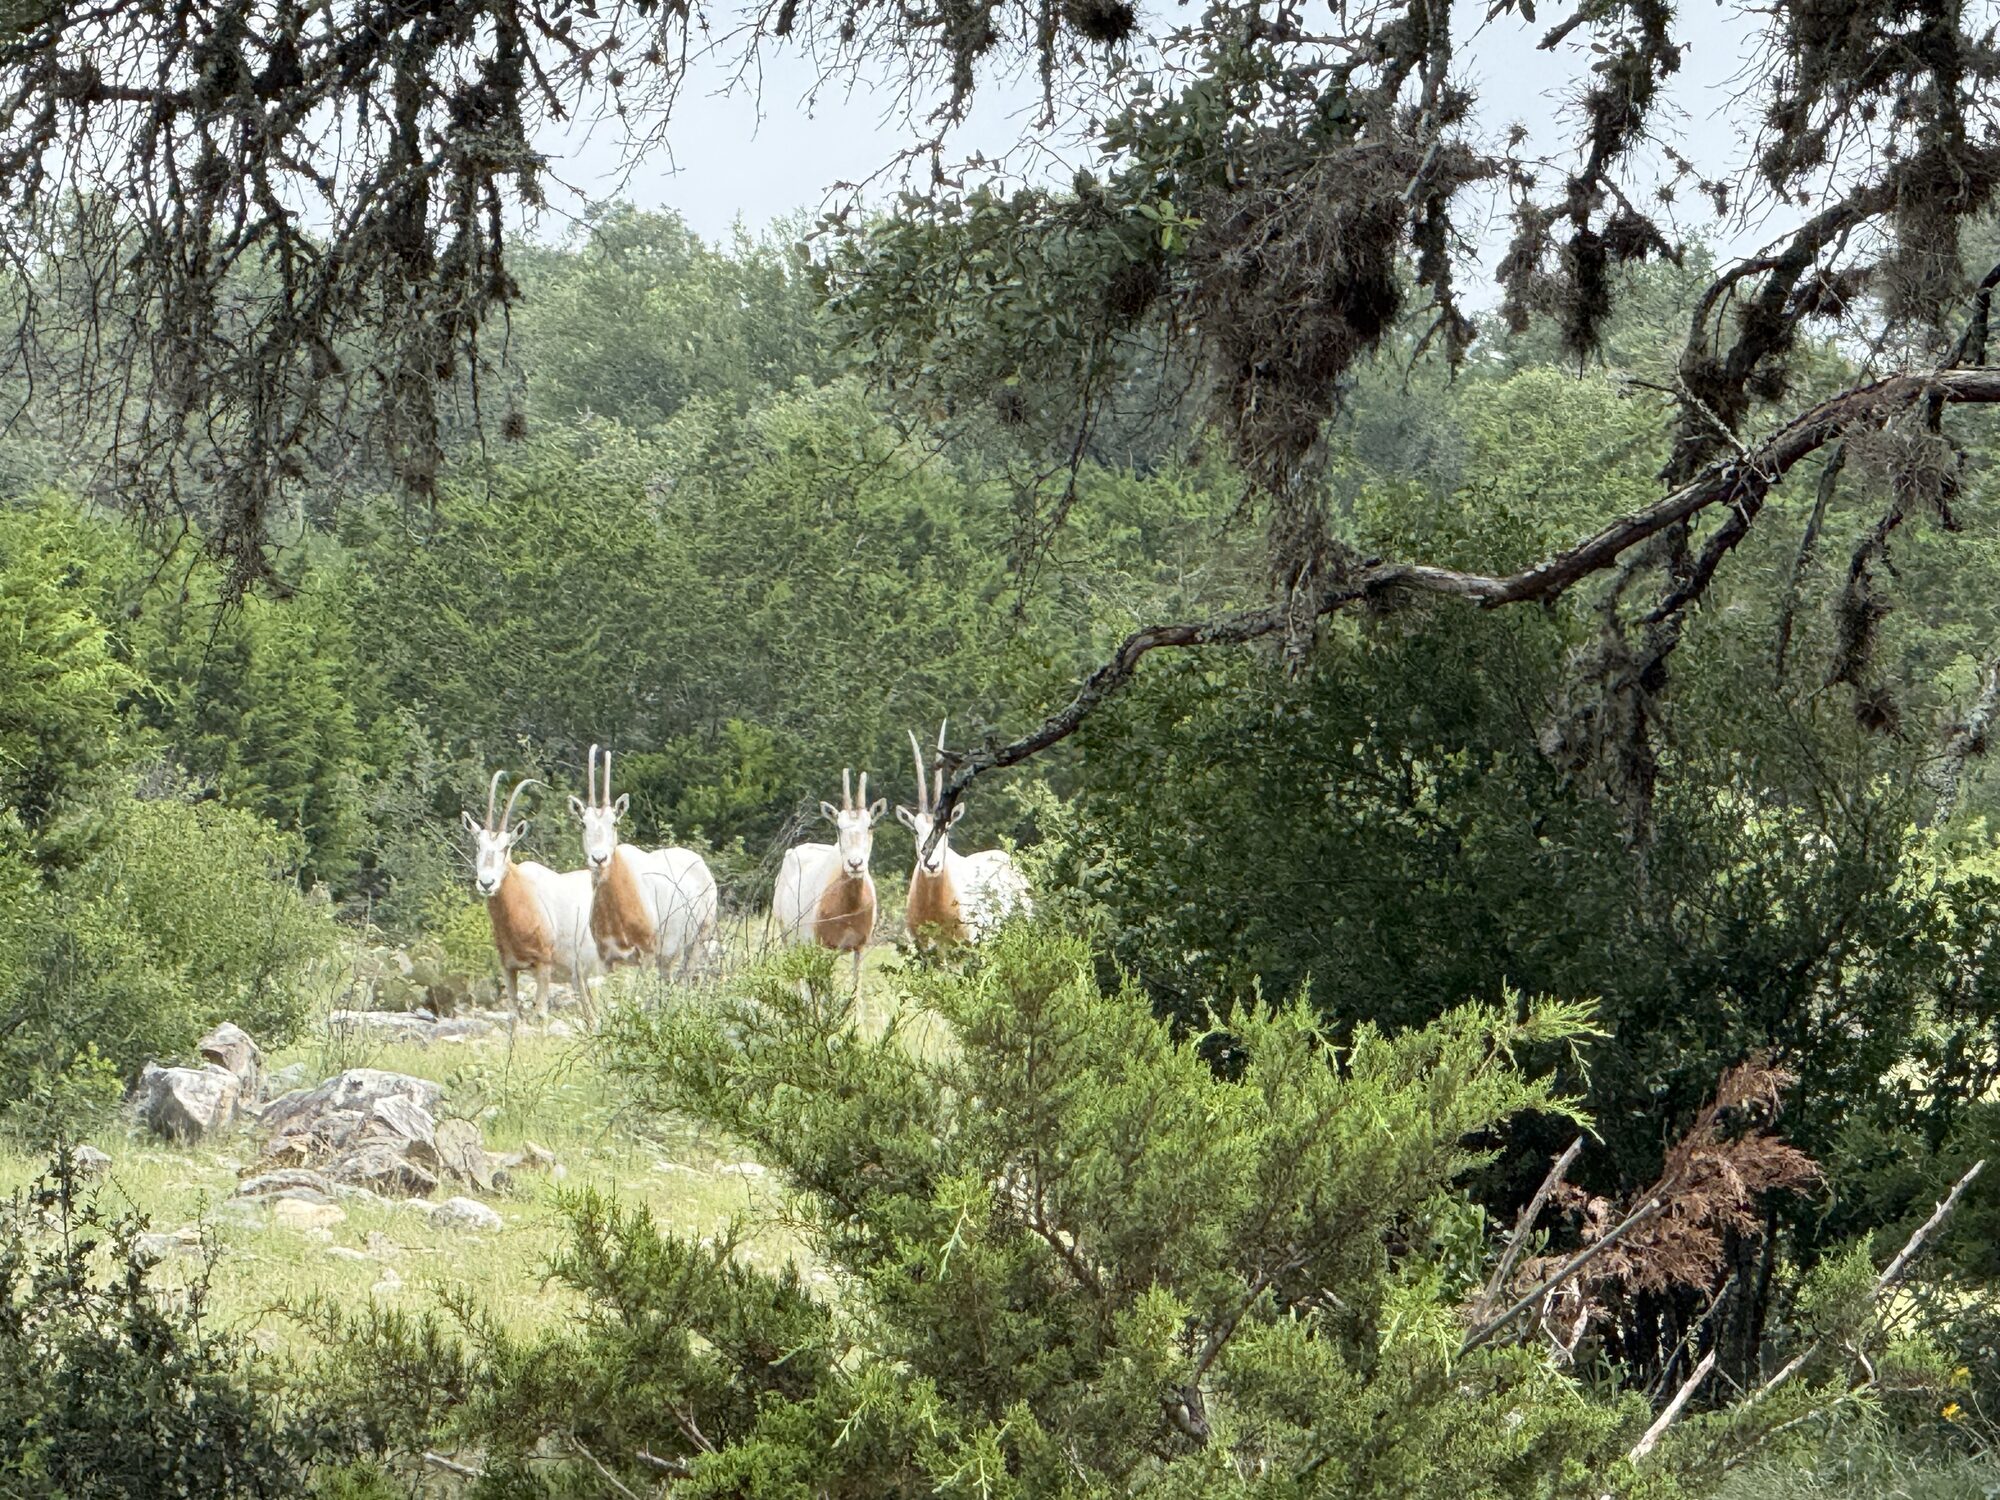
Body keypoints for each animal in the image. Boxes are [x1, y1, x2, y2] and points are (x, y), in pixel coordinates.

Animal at [462, 771, 602, 1027]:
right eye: (478, 844)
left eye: (506, 847)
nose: (486, 883)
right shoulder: (508, 967)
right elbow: (513, 1016)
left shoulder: (543, 965)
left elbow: (541, 1014)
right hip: (580, 975)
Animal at [569, 745, 720, 980]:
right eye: (583, 824)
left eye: (614, 822)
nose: (599, 859)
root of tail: (700, 863)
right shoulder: (606, 959)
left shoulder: (646, 955)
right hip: (667, 957)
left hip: (698, 940)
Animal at [771, 768, 885, 990]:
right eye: (838, 827)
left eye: (870, 826)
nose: (855, 864)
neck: (849, 907)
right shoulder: (822, 947)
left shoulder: (859, 947)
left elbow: (855, 991)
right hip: (790, 939)